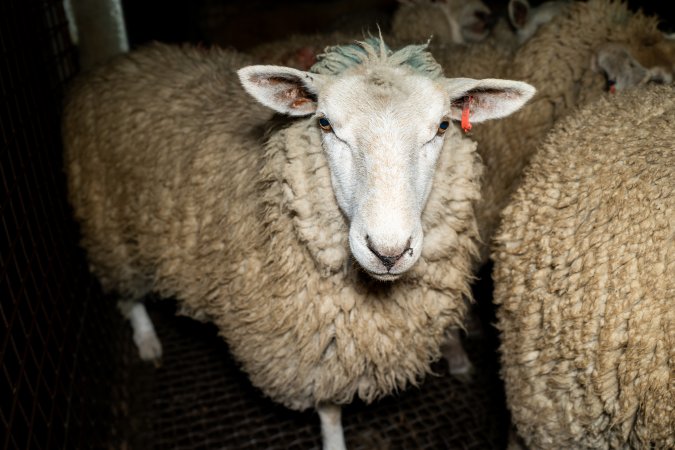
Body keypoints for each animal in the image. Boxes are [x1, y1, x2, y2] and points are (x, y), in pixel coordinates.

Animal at [64, 39, 540, 450]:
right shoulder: (311, 345)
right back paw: (146, 340)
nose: (387, 251)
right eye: (325, 123)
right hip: (107, 220)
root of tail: (122, 60)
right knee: (127, 293)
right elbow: (328, 411)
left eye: (442, 127)